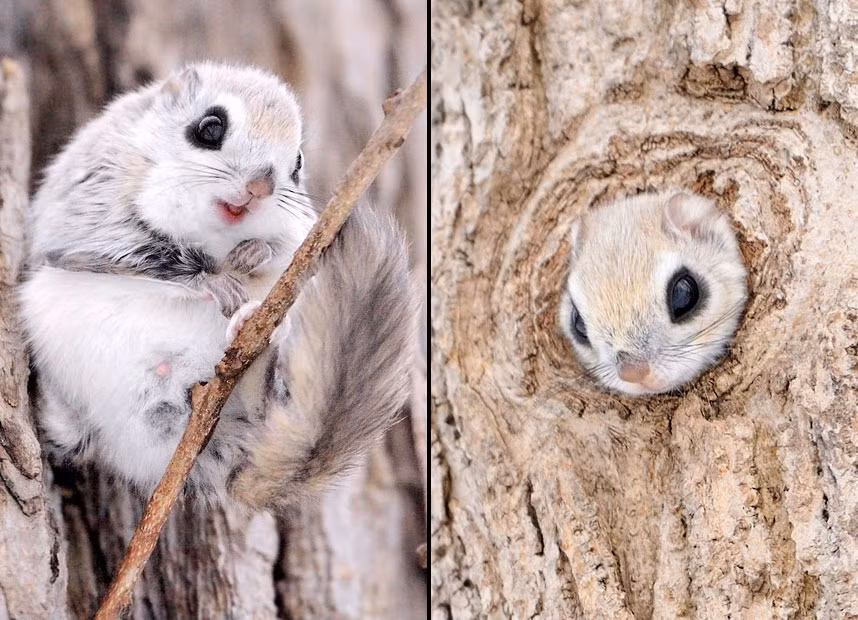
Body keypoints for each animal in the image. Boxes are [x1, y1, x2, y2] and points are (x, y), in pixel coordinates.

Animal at [18, 61, 416, 509]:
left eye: (297, 164)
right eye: (209, 128)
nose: (260, 187)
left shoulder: (301, 231)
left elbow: (287, 251)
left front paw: (255, 253)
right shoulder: (90, 209)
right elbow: (140, 254)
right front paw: (215, 281)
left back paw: (255, 333)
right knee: (72, 435)